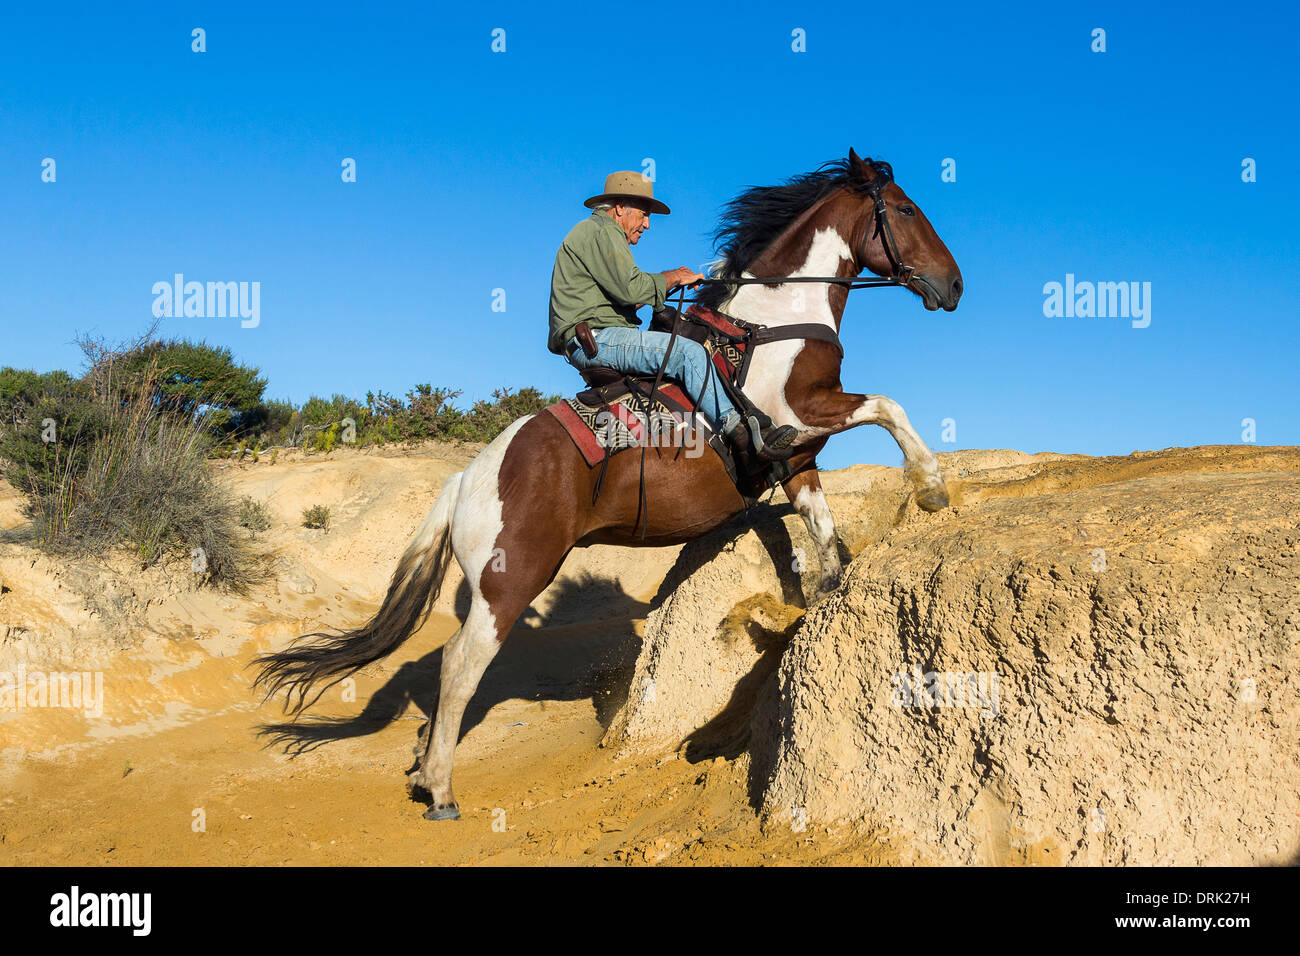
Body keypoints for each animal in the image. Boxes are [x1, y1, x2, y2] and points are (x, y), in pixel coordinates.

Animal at [254, 148, 963, 820]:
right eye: (905, 210)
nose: (954, 284)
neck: (772, 320)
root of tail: (468, 478)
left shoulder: (797, 461)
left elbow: (820, 523)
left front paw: (826, 586)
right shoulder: (796, 416)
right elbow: (888, 407)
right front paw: (931, 486)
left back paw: (427, 773)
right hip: (508, 584)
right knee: (459, 668)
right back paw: (442, 789)